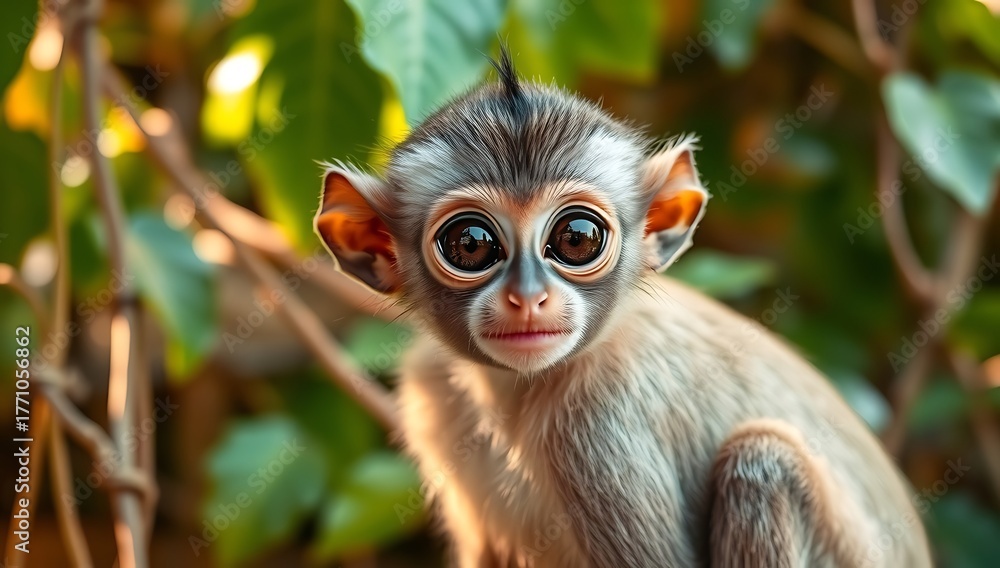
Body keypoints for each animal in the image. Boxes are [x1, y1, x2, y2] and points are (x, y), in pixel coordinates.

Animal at [314, 49, 932, 568]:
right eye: (470, 245)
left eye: (577, 238)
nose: (528, 296)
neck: (515, 393)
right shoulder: (430, 396)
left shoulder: (599, 430)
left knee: (762, 461)